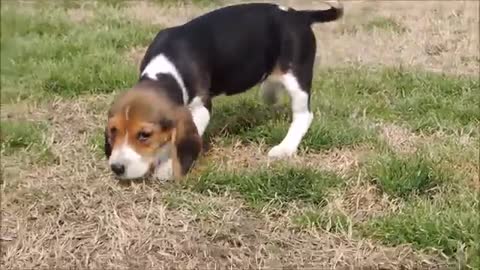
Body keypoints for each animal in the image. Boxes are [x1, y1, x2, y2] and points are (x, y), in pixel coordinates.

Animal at [105, 2, 344, 180]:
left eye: (144, 135)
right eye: (113, 131)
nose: (116, 167)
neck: (165, 71)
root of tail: (299, 16)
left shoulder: (200, 107)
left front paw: (166, 167)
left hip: (296, 75)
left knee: (304, 115)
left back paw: (285, 148)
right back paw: (270, 90)